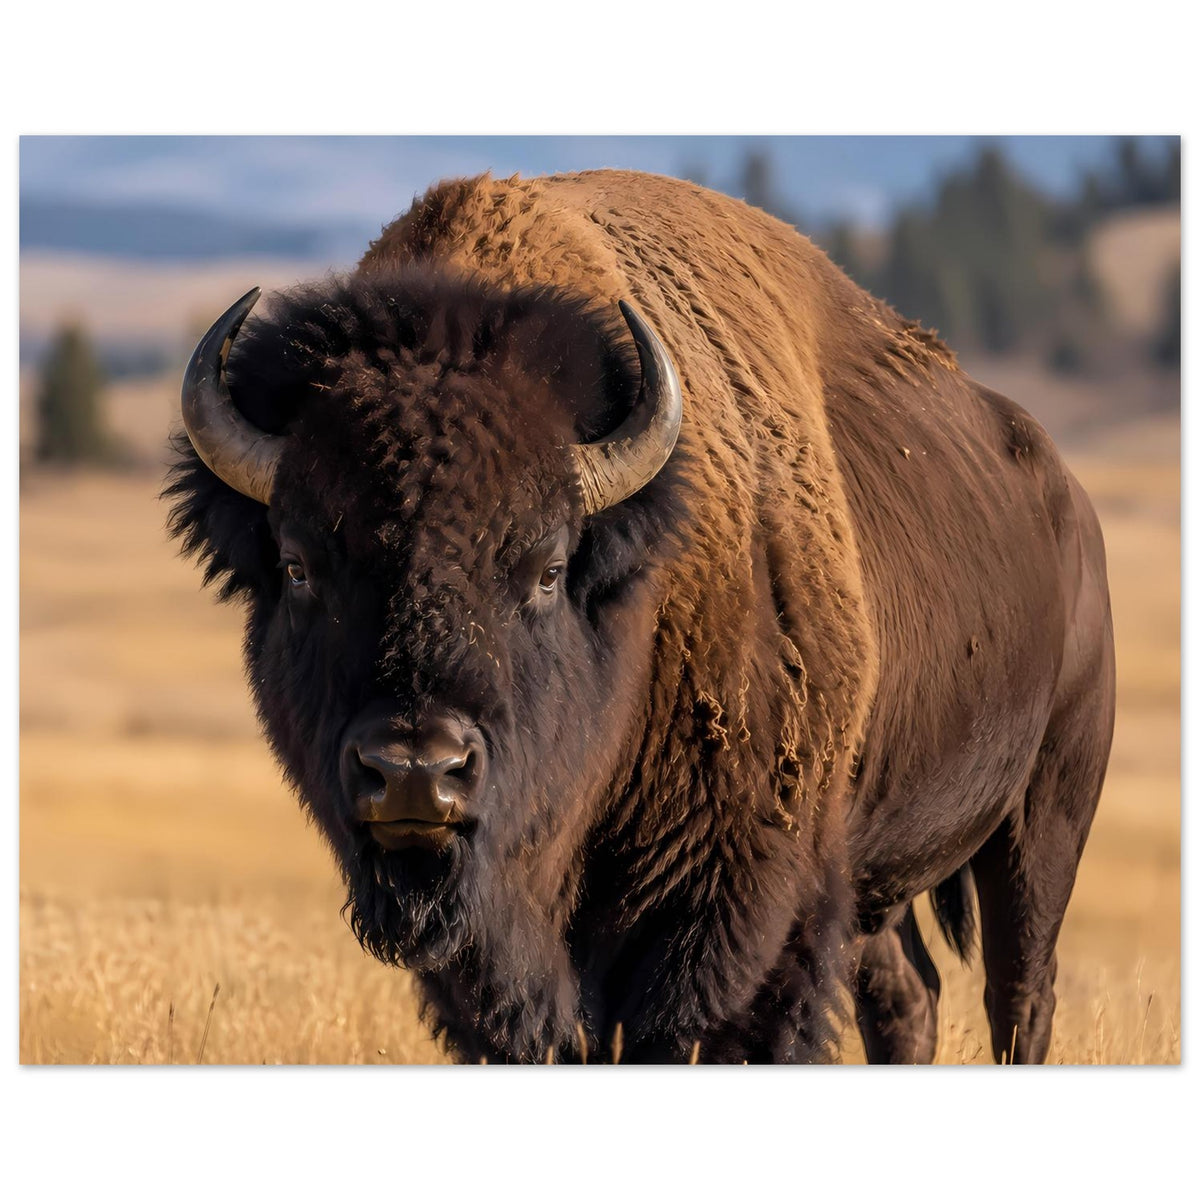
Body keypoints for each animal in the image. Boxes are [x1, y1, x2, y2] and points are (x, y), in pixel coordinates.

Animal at [168, 170, 1115, 1063]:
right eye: (298, 567)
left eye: (547, 568)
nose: (414, 770)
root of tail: (1069, 501)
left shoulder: (734, 909)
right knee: (908, 994)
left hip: (1044, 815)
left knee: (1020, 991)